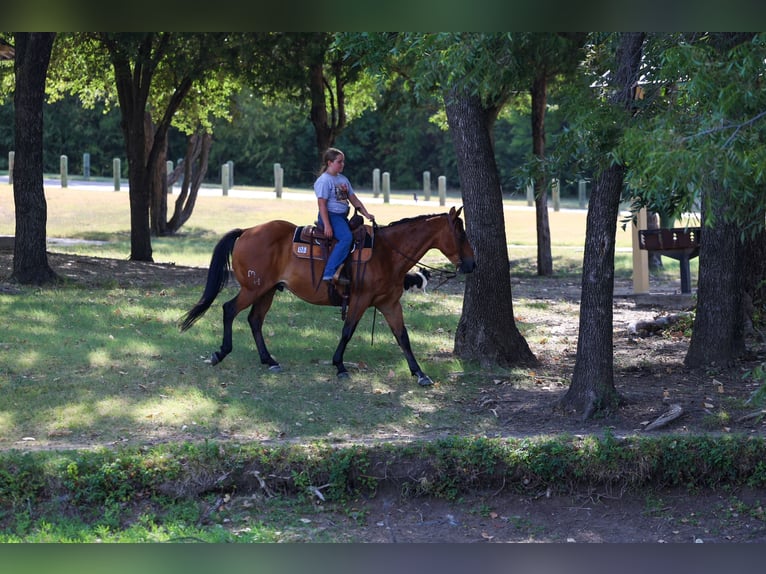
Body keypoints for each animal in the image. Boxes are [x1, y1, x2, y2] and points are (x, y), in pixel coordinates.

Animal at [179, 206, 476, 386]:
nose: (472, 265)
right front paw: (340, 365)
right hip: (253, 288)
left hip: (266, 291)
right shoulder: (360, 300)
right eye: (461, 235)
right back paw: (221, 353)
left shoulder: (389, 303)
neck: (387, 254)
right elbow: (348, 330)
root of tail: (246, 232)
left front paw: (419, 373)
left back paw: (269, 360)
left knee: (255, 320)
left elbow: (403, 336)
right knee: (229, 310)